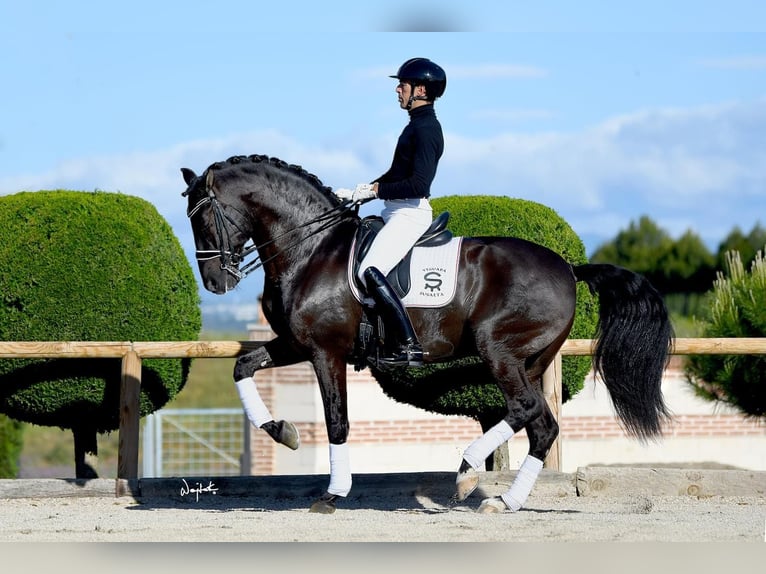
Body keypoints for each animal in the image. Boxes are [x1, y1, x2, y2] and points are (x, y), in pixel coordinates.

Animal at [181, 154, 673, 514]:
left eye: (203, 221)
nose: (215, 283)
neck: (312, 249)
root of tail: (569, 268)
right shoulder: (296, 344)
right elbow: (243, 367)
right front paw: (283, 431)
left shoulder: (326, 351)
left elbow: (337, 420)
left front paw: (333, 494)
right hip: (530, 360)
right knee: (542, 427)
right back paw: (505, 500)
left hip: (499, 350)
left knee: (526, 409)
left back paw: (468, 472)